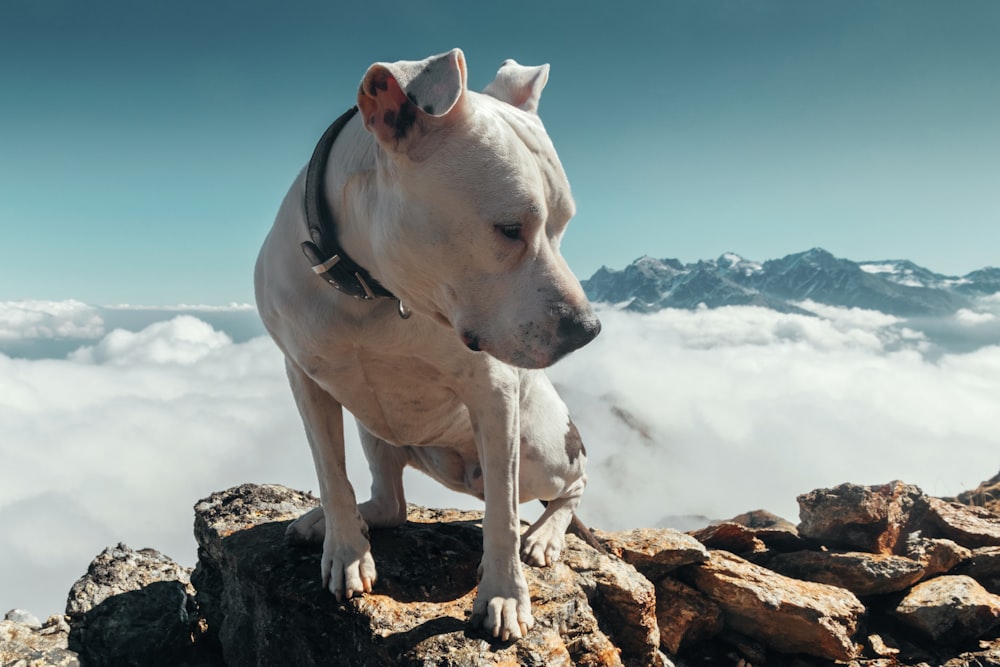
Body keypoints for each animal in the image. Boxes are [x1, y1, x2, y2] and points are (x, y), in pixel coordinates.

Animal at [256, 48, 600, 640]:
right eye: (510, 228)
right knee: (389, 503)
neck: (370, 288)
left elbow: (503, 516)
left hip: (540, 447)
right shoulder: (304, 376)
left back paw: (545, 535)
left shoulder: (494, 392)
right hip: (376, 431)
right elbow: (330, 472)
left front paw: (504, 595)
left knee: (568, 486)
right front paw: (344, 551)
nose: (588, 329)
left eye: (563, 225)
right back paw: (335, 521)